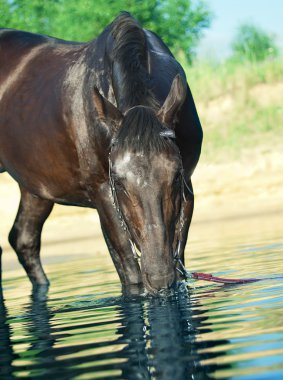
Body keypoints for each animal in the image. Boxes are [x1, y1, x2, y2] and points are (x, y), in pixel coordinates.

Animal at [0, 11, 202, 290]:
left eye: (176, 175)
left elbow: (178, 256)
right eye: (118, 182)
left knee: (24, 240)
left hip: (35, 188)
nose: (159, 277)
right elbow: (131, 274)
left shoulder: (187, 189)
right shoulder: (103, 194)